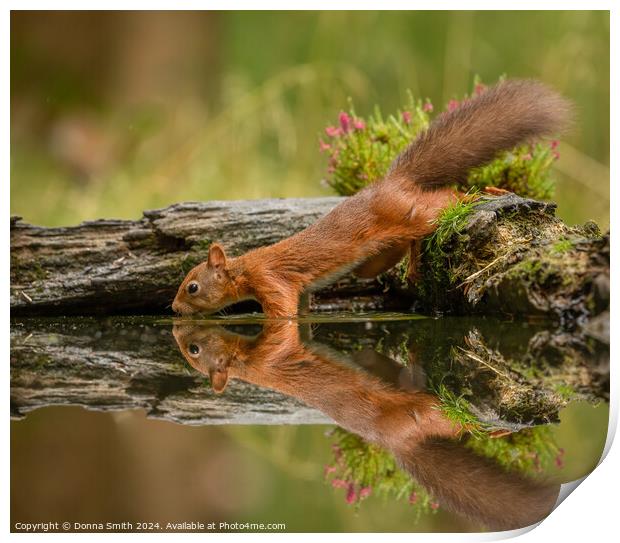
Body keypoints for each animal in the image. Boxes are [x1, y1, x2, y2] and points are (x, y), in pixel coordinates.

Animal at [172, 81, 568, 318]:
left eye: (192, 286)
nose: (174, 309)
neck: (244, 270)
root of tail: (391, 182)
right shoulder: (301, 291)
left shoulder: (273, 283)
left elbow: (282, 317)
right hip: (373, 259)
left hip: (411, 212)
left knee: (440, 203)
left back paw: (483, 193)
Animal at [172, 324, 560, 532]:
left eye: (191, 348)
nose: (176, 328)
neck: (250, 362)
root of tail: (396, 444)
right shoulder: (274, 350)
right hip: (421, 410)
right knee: (453, 421)